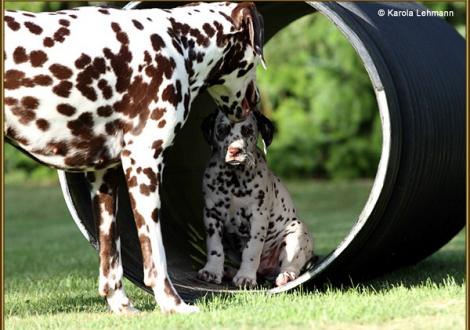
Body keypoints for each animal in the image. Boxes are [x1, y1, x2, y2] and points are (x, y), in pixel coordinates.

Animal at [4, 0, 264, 314]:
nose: (258, 99)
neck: (179, 42)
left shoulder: (103, 178)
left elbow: (111, 257)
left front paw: (121, 306)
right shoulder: (144, 163)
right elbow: (156, 256)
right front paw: (173, 304)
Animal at [196, 109, 314, 288]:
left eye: (248, 131)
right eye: (222, 130)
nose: (235, 151)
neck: (233, 180)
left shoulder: (258, 218)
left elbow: (251, 250)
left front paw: (245, 277)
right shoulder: (211, 215)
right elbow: (215, 247)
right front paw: (212, 271)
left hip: (297, 233)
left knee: (292, 266)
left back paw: (285, 276)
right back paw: (228, 271)